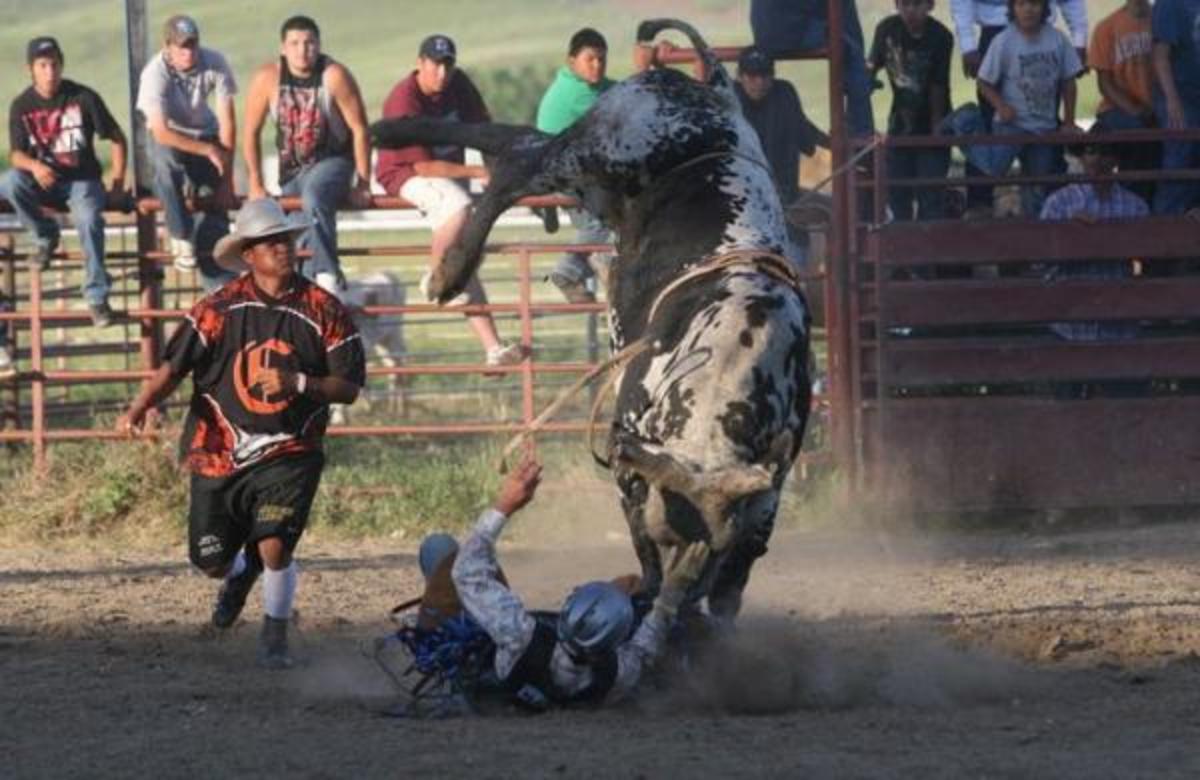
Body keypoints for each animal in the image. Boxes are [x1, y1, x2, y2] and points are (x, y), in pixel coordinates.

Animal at [369, 19, 811, 619]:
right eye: (671, 532)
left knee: (516, 140)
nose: (682, 601)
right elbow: (640, 540)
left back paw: (390, 135)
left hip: (598, 183)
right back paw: (445, 263)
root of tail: (709, 88)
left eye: (718, 551)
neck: (733, 355)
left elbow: (750, 545)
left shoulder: (769, 478)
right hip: (600, 148)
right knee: (521, 163)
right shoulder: (628, 456)